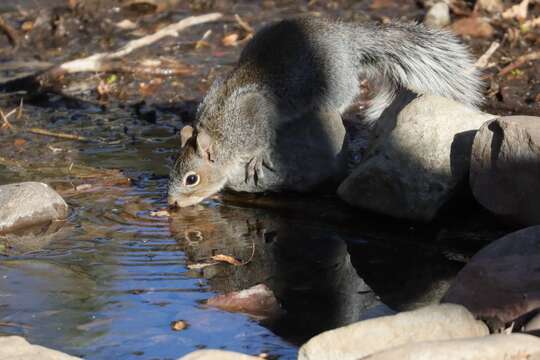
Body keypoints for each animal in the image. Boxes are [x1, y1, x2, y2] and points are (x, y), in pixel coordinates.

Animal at [168, 16, 480, 208]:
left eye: (191, 179)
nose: (172, 203)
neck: (220, 131)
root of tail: (347, 40)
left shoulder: (253, 115)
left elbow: (262, 138)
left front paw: (256, 159)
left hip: (336, 84)